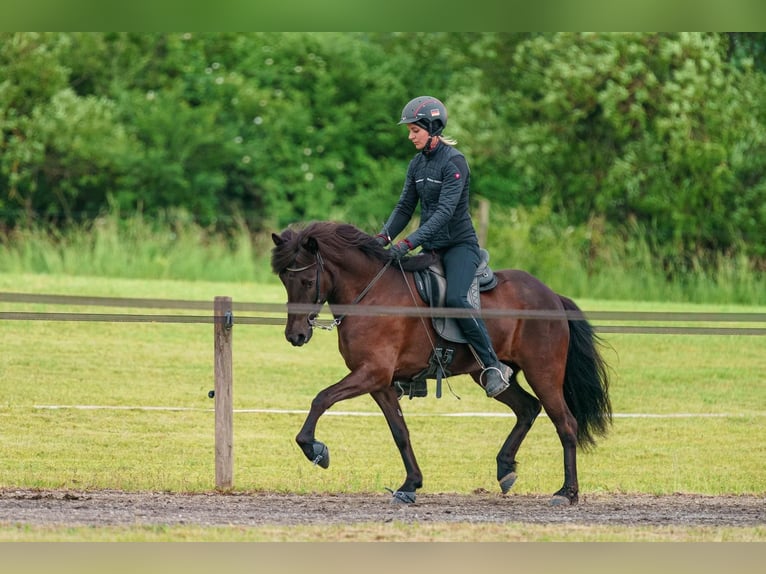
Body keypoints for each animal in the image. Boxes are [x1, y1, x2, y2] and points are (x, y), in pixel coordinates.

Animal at [272, 223, 616, 506]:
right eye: (284, 280)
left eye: (306, 280)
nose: (295, 335)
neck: (370, 294)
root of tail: (553, 297)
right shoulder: (379, 382)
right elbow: (400, 432)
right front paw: (410, 485)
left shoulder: (371, 373)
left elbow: (322, 399)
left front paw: (315, 449)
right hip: (487, 374)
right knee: (527, 408)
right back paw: (505, 468)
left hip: (543, 373)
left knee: (565, 423)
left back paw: (567, 493)